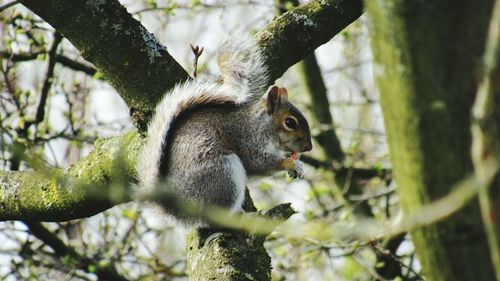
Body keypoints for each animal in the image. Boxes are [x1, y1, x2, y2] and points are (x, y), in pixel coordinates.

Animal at [135, 36, 310, 221]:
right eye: (290, 122)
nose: (309, 147)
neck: (261, 124)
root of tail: (179, 208)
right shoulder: (248, 139)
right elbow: (258, 164)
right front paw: (290, 164)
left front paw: (298, 166)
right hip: (223, 174)